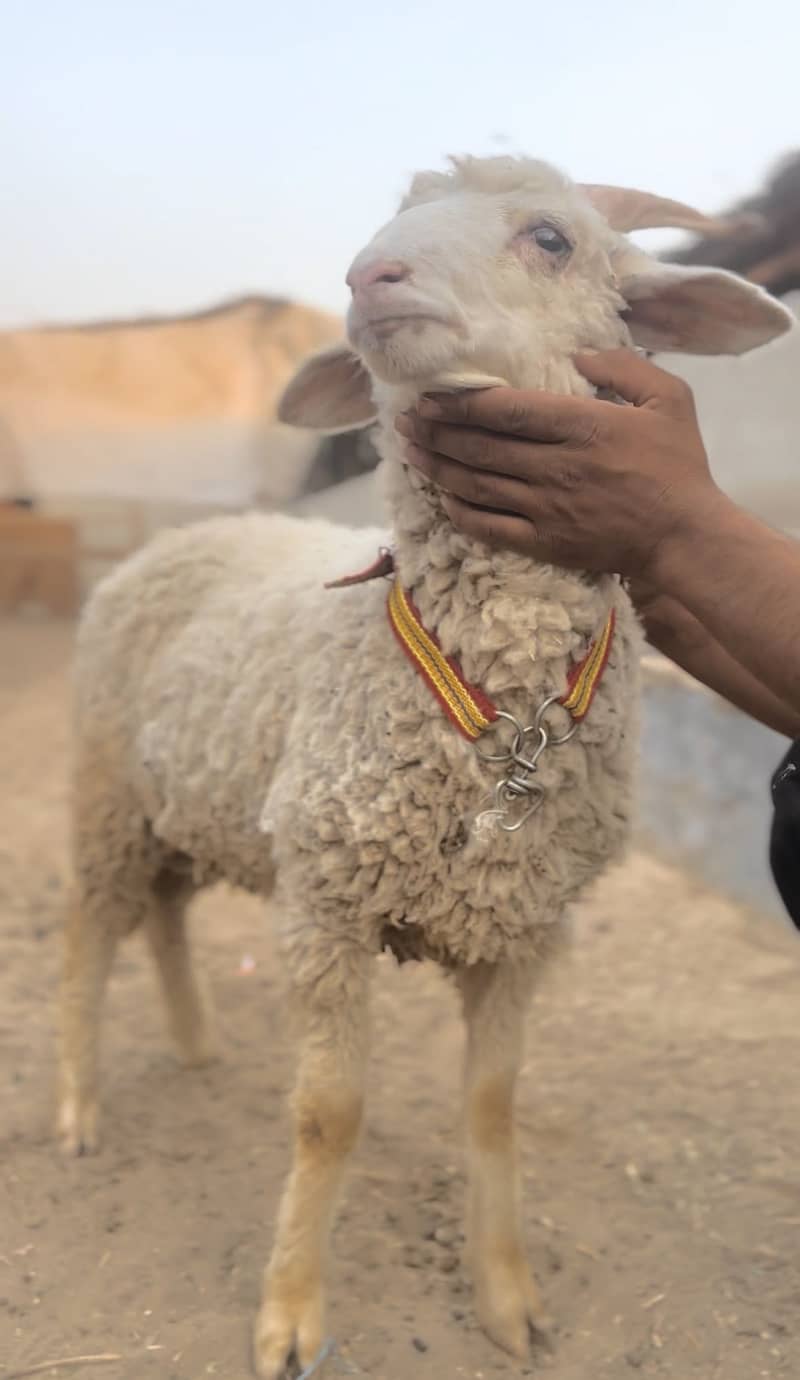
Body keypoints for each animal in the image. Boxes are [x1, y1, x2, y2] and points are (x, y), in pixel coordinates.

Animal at [57, 155, 793, 1380]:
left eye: (550, 238)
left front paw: (508, 1300)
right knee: (88, 937)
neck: (496, 704)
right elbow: (329, 1118)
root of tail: (181, 537)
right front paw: (291, 1313)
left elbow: (492, 1108)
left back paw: (199, 1046)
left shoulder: (525, 928)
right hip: (105, 790)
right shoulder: (326, 904)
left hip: (189, 804)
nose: (370, 278)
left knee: (164, 915)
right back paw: (75, 1109)